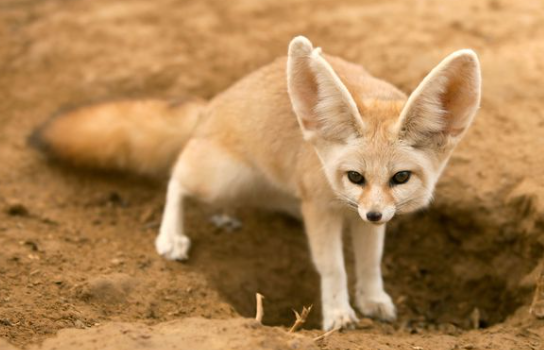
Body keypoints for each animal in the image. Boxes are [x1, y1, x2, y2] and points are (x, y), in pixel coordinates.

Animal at [31, 36, 480, 330]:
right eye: (355, 176)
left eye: (400, 177)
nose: (373, 213)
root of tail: (211, 105)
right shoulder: (320, 209)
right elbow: (332, 266)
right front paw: (338, 313)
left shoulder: (360, 217)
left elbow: (370, 262)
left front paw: (372, 299)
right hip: (222, 176)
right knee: (177, 174)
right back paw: (171, 236)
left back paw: (224, 216)